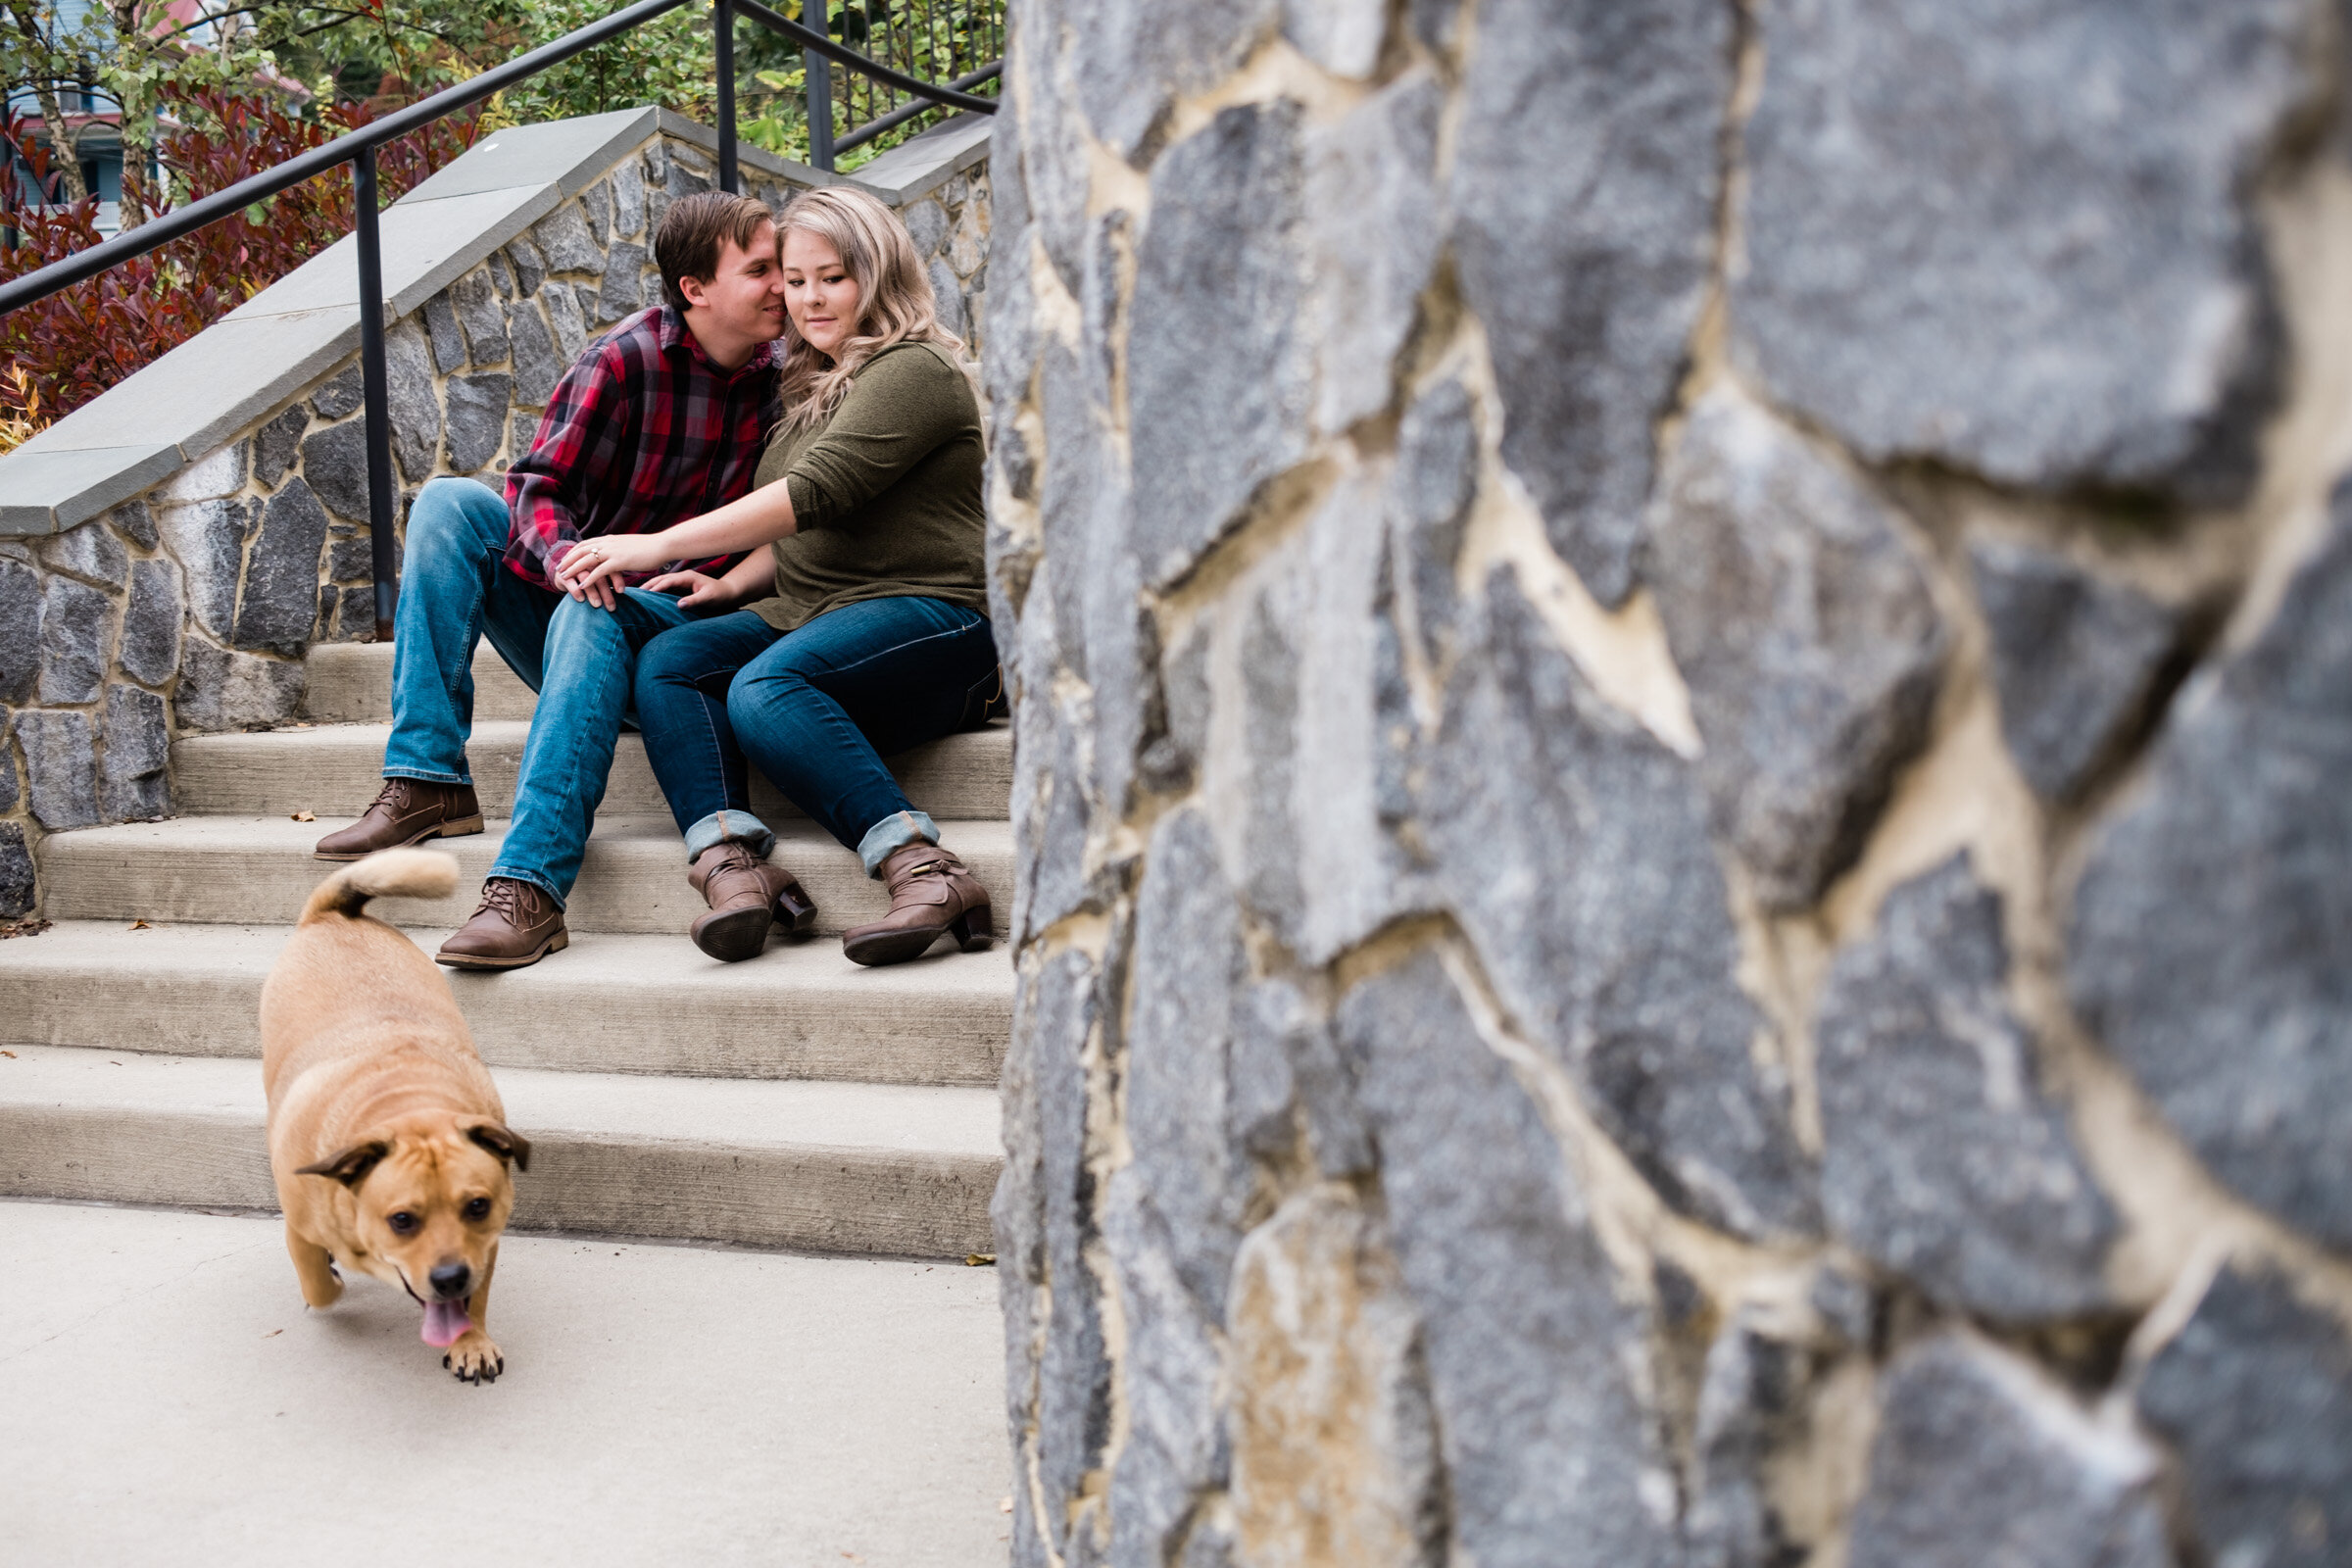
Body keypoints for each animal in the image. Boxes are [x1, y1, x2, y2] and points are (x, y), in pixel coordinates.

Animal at [263, 851, 533, 1382]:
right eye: (402, 1220)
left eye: (478, 1207)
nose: (450, 1276)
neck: (405, 1102)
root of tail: (334, 915)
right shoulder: (299, 1228)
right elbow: (317, 1286)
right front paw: (330, 1280)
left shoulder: (484, 1248)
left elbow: (474, 1302)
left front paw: (471, 1341)